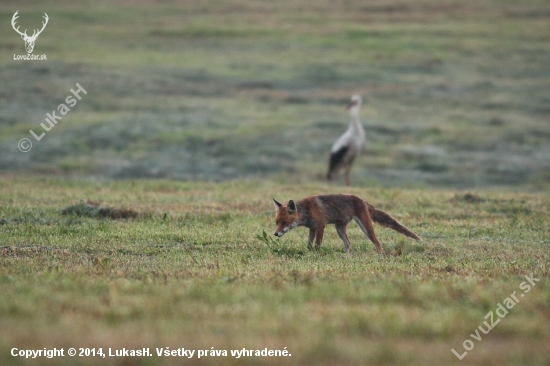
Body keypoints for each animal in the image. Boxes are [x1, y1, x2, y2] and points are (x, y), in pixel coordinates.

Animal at [274, 194, 422, 252]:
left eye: (285, 222)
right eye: (277, 222)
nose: (275, 234)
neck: (307, 210)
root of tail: (362, 199)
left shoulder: (321, 226)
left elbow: (317, 243)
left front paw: (316, 253)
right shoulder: (312, 228)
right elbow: (309, 244)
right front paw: (309, 251)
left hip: (366, 228)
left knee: (377, 243)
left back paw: (381, 254)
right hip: (339, 228)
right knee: (348, 243)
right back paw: (344, 254)